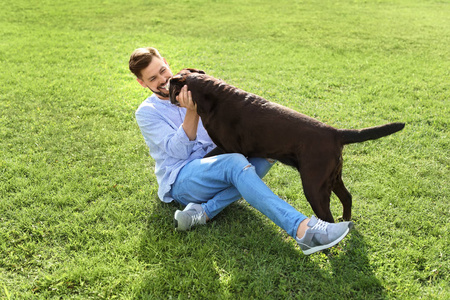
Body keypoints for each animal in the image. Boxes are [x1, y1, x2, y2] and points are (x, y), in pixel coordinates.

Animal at [168, 68, 404, 223]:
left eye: (171, 87)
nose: (167, 95)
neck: (212, 96)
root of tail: (336, 133)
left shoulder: (231, 149)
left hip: (314, 186)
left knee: (327, 218)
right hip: (332, 178)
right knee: (347, 198)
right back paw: (346, 222)